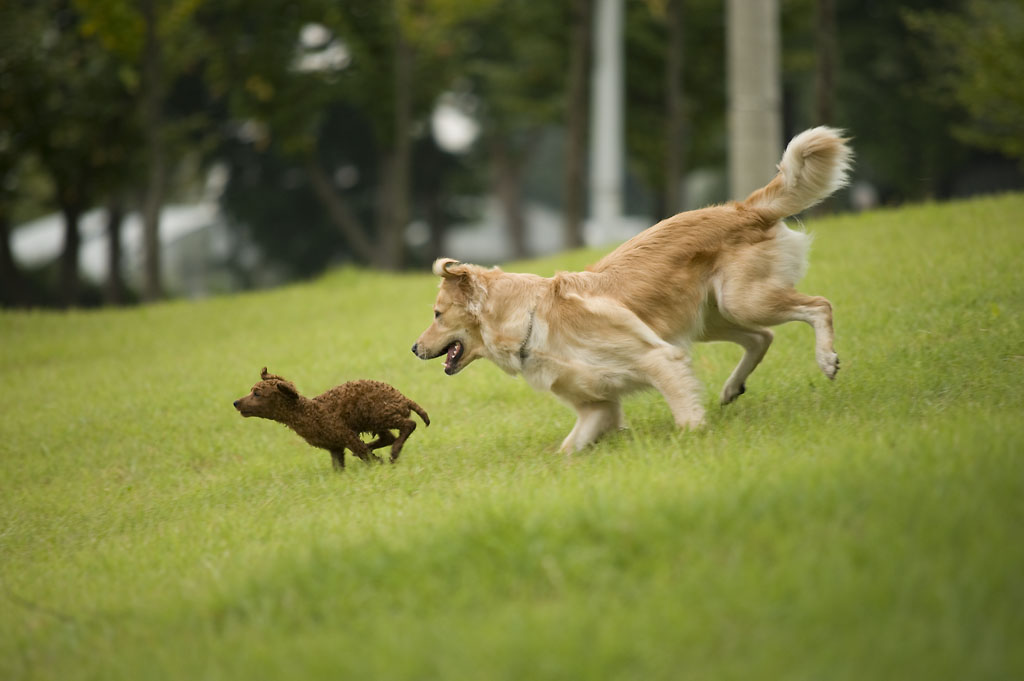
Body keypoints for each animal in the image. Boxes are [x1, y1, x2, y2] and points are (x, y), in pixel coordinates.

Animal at [234, 366, 428, 466]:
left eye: (257, 394)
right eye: (251, 391)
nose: (235, 402)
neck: (308, 411)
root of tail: (404, 398)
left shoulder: (346, 435)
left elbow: (365, 454)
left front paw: (378, 463)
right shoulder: (335, 447)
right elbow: (339, 466)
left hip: (379, 414)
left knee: (409, 425)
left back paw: (394, 452)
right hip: (372, 419)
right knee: (389, 436)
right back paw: (378, 446)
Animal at [411, 125, 851, 450]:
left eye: (437, 314)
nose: (414, 349)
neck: (531, 322)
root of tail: (742, 209)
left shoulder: (659, 358)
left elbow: (685, 415)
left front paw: (695, 438)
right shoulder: (596, 407)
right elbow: (567, 451)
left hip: (743, 301)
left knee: (818, 305)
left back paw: (826, 359)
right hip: (710, 318)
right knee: (762, 337)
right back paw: (731, 388)